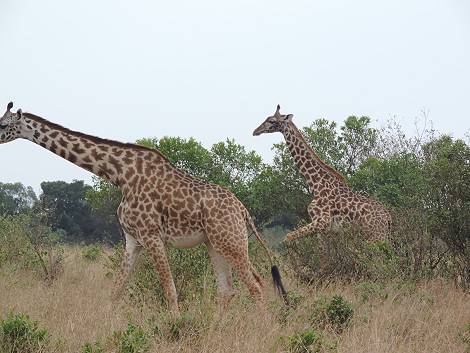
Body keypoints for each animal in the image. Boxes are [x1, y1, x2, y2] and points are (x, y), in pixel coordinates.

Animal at [0, 102, 288, 314]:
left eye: (3, 123)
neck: (119, 175)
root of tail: (243, 209)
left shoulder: (151, 236)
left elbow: (170, 290)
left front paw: (177, 327)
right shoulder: (132, 240)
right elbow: (116, 291)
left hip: (231, 241)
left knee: (257, 285)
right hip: (215, 243)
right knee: (227, 289)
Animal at [252, 104, 392, 242]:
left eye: (271, 121)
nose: (255, 131)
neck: (316, 184)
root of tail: (388, 218)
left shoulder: (322, 222)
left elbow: (287, 237)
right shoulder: (327, 230)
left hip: (375, 236)